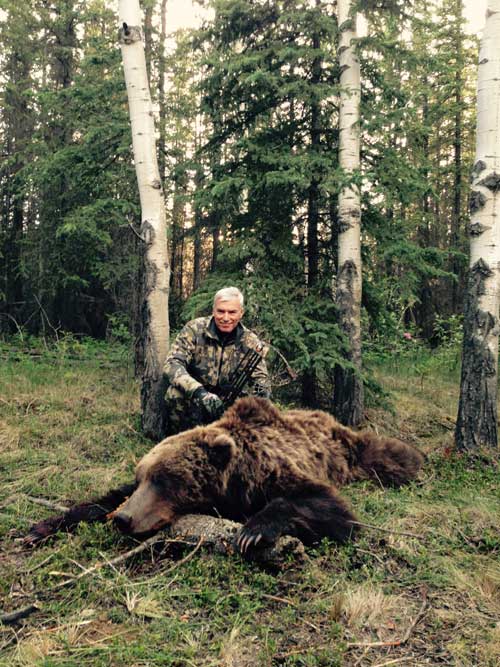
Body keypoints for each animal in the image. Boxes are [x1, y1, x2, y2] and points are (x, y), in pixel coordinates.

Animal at [25, 400, 424, 552]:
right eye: (142, 476)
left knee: (388, 455)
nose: (124, 519)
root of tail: (326, 417)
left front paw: (252, 531)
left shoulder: (271, 475)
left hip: (352, 450)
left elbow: (333, 510)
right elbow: (103, 497)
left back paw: (415, 460)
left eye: (165, 479)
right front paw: (41, 526)